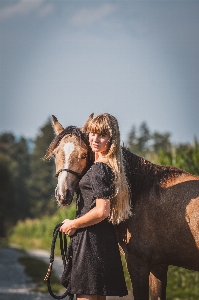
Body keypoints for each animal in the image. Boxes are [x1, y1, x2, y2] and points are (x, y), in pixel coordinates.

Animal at [44, 115, 199, 300]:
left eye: (83, 154)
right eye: (55, 154)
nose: (63, 194)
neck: (139, 190)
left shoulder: (138, 263)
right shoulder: (159, 266)